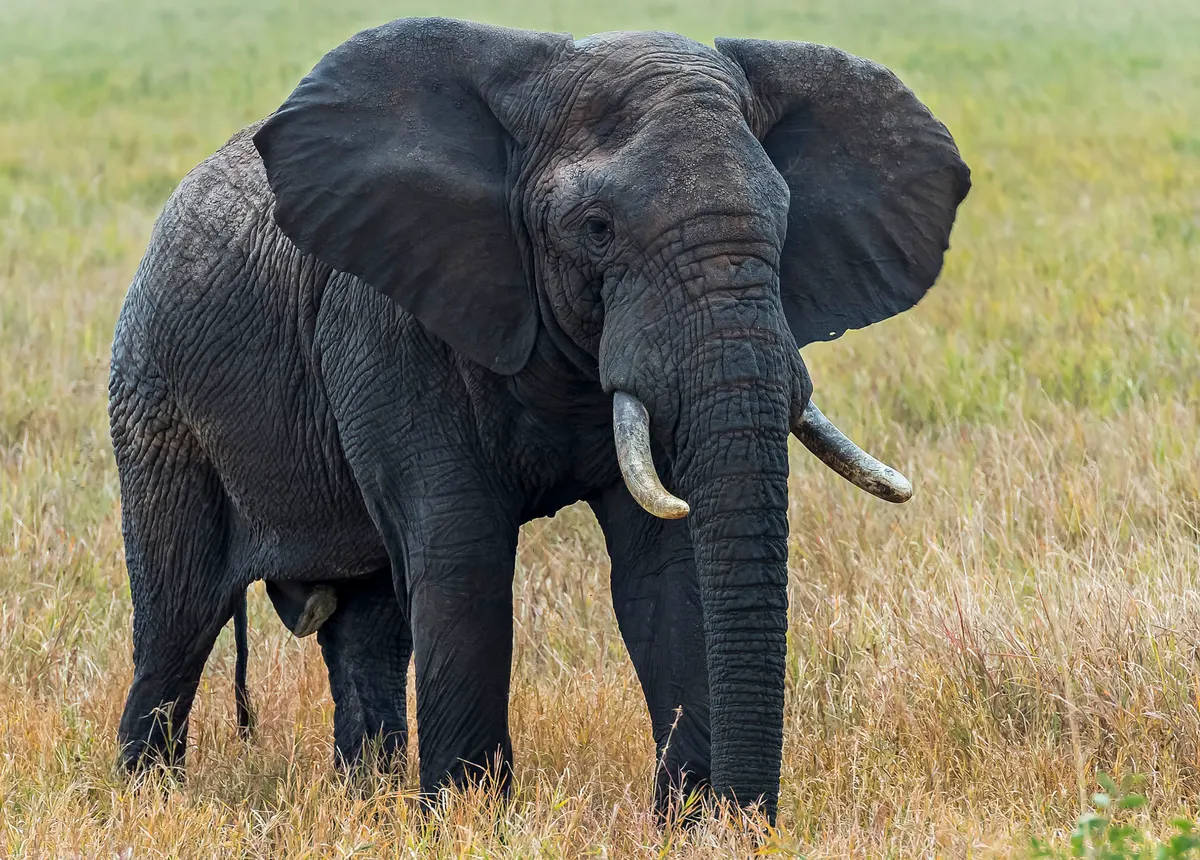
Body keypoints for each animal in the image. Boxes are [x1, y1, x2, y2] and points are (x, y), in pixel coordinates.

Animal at [107, 16, 969, 821]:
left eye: (785, 223)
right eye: (596, 228)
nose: (747, 818)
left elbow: (667, 570)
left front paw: (691, 825)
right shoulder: (388, 324)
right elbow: (464, 556)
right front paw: (467, 822)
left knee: (367, 630)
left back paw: (368, 800)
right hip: (154, 398)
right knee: (180, 620)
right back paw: (149, 800)